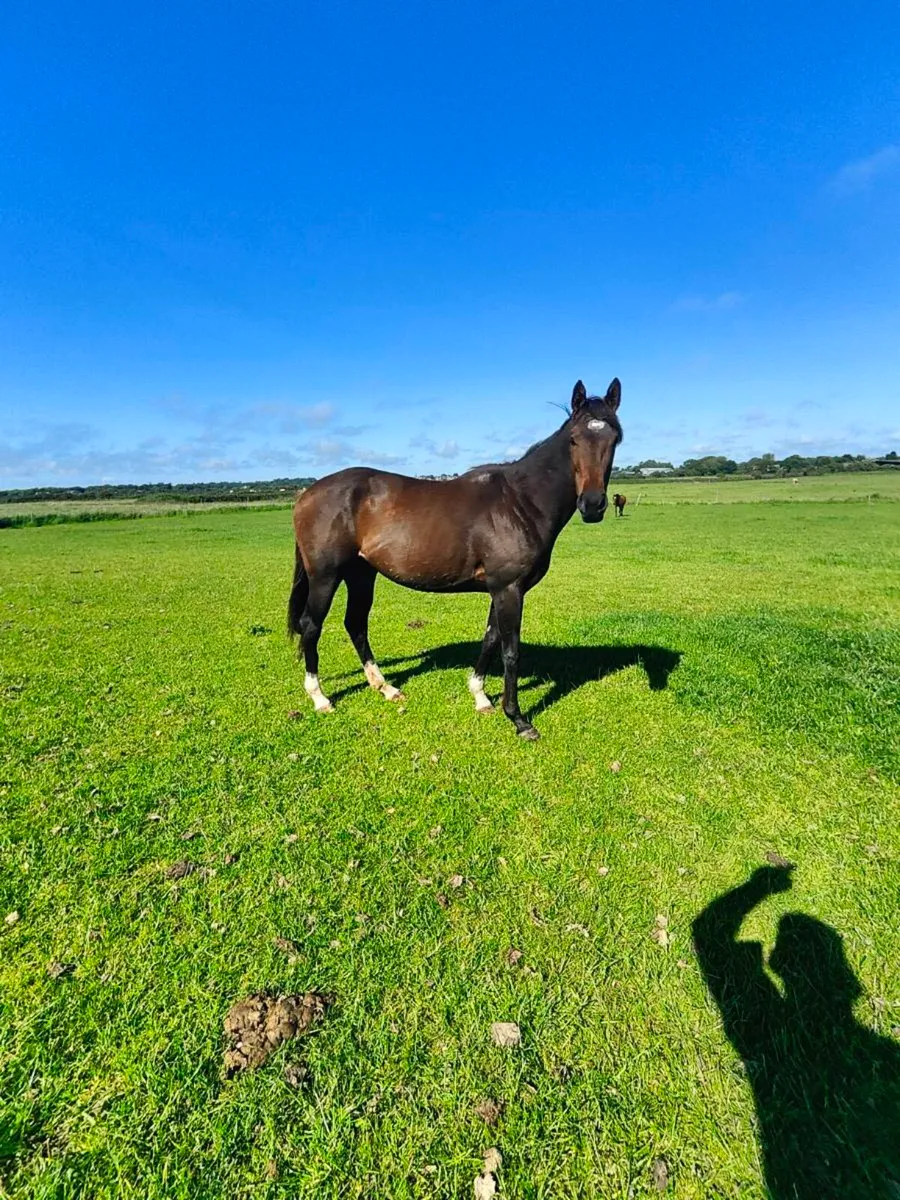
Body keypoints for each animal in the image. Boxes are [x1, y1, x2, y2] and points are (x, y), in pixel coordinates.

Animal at [288, 378, 623, 740]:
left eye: (615, 438)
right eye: (574, 439)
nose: (592, 505)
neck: (521, 501)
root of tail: (306, 494)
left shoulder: (500, 588)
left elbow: (490, 638)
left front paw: (481, 697)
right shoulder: (509, 588)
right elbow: (510, 650)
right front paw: (518, 719)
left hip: (361, 574)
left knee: (355, 623)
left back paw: (386, 688)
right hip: (325, 576)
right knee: (311, 626)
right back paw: (320, 698)